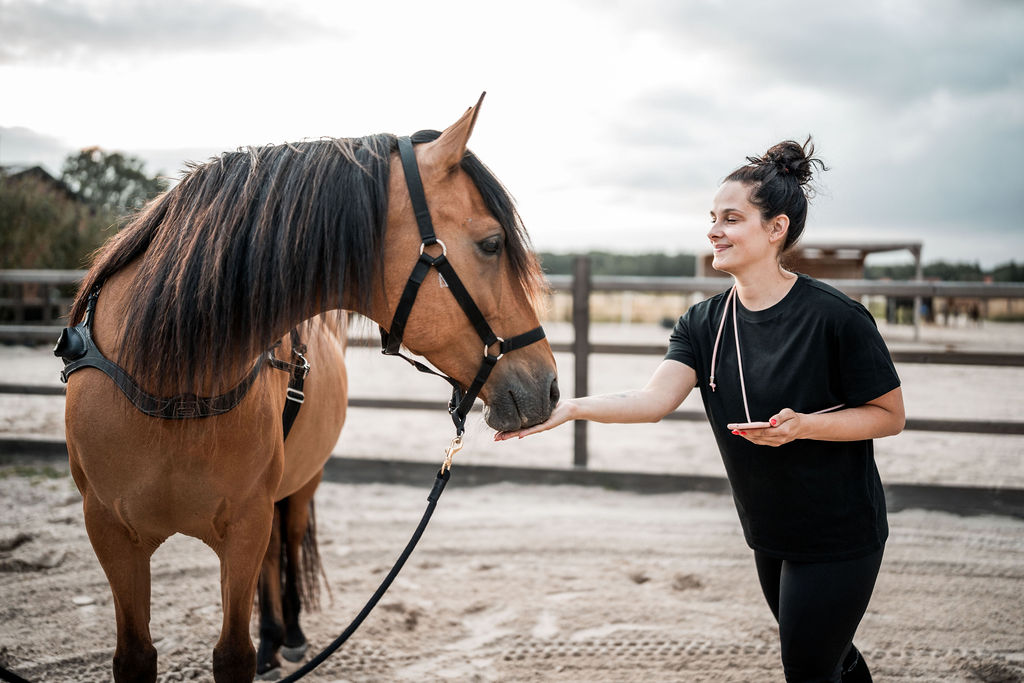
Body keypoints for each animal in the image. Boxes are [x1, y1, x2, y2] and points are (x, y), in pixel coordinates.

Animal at [59, 95, 559, 682]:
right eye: (492, 243)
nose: (549, 385)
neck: (169, 384)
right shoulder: (111, 534)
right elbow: (135, 656)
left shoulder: (245, 526)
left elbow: (234, 652)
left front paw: (269, 643)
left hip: (299, 485)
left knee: (288, 544)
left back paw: (288, 637)